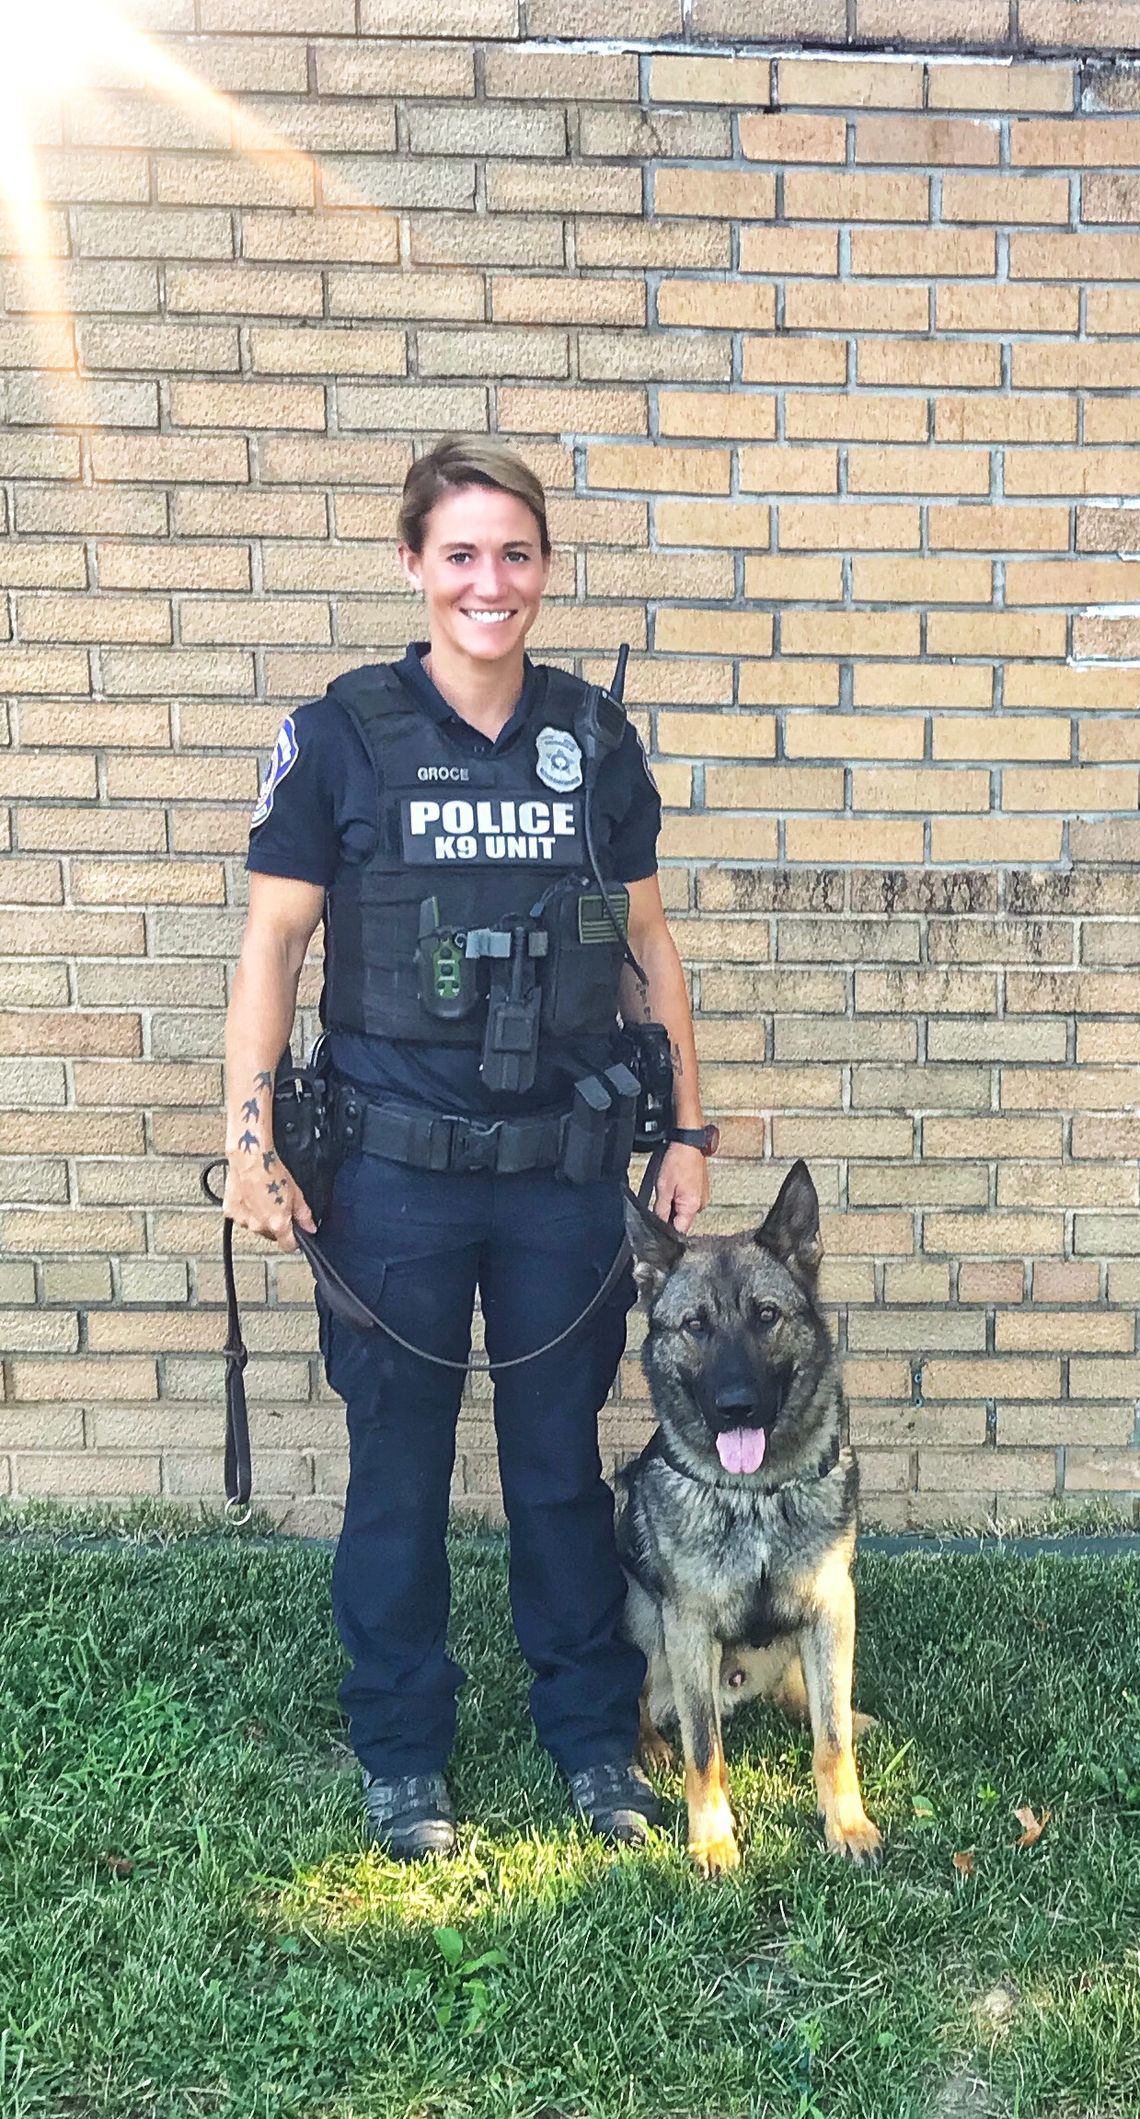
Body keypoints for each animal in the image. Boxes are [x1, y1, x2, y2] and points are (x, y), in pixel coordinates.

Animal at [618, 1169, 873, 1881]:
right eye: (695, 1326)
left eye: (766, 1315)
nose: (736, 1407)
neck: (754, 1493)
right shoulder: (688, 1624)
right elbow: (705, 1750)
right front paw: (712, 1840)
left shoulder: (830, 1607)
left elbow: (832, 1739)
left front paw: (847, 1823)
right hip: (644, 1619)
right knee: (643, 1701)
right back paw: (651, 1746)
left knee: (809, 1697)